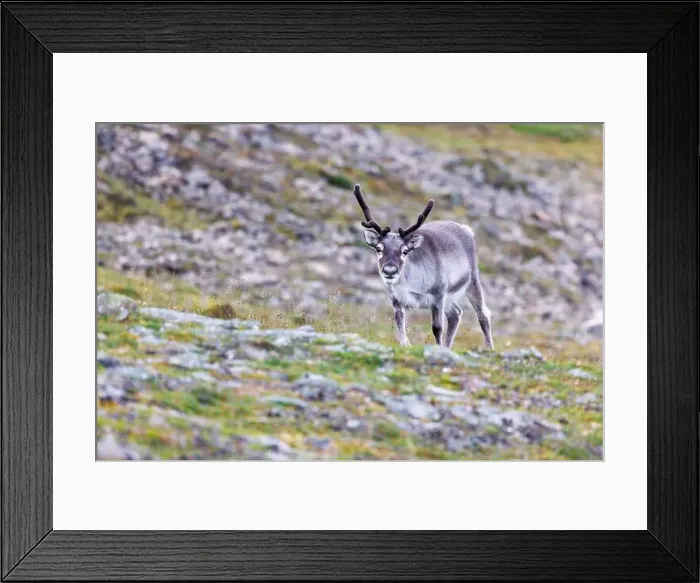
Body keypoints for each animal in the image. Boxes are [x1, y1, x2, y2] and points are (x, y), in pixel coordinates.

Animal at [354, 184, 493, 350]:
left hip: (472, 282)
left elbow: (437, 327)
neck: (410, 285)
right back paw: (448, 347)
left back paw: (489, 348)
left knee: (483, 314)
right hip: (450, 296)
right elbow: (399, 320)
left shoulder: (438, 295)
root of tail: (467, 230)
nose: (390, 271)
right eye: (378, 249)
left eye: (405, 251)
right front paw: (406, 344)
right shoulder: (395, 298)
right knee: (455, 313)